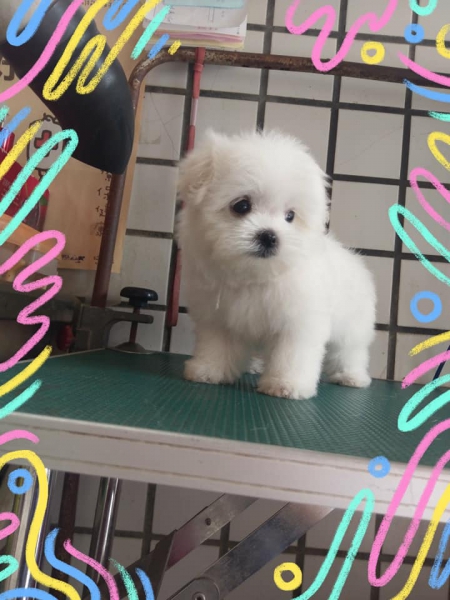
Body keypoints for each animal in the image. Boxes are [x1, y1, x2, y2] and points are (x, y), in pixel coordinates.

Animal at [176, 129, 376, 400]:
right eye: (242, 205)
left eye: (290, 216)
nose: (269, 236)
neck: (254, 275)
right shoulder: (218, 317)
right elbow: (217, 344)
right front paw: (209, 370)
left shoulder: (298, 321)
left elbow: (292, 354)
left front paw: (286, 384)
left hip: (353, 325)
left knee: (350, 351)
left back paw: (351, 376)